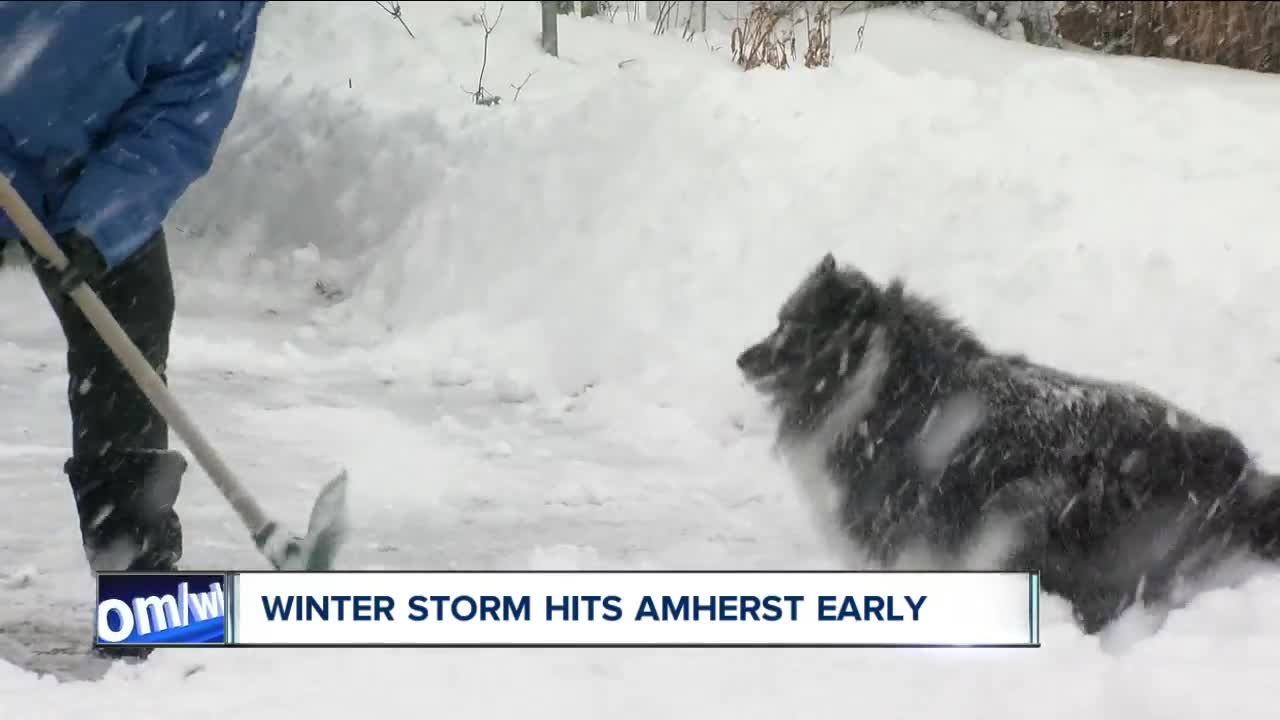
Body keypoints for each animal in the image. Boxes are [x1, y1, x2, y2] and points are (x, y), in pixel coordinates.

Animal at [737, 253, 1274, 632]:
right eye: (779, 320)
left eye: (791, 328)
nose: (742, 358)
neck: (871, 370)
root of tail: (1225, 466)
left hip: (1022, 519)